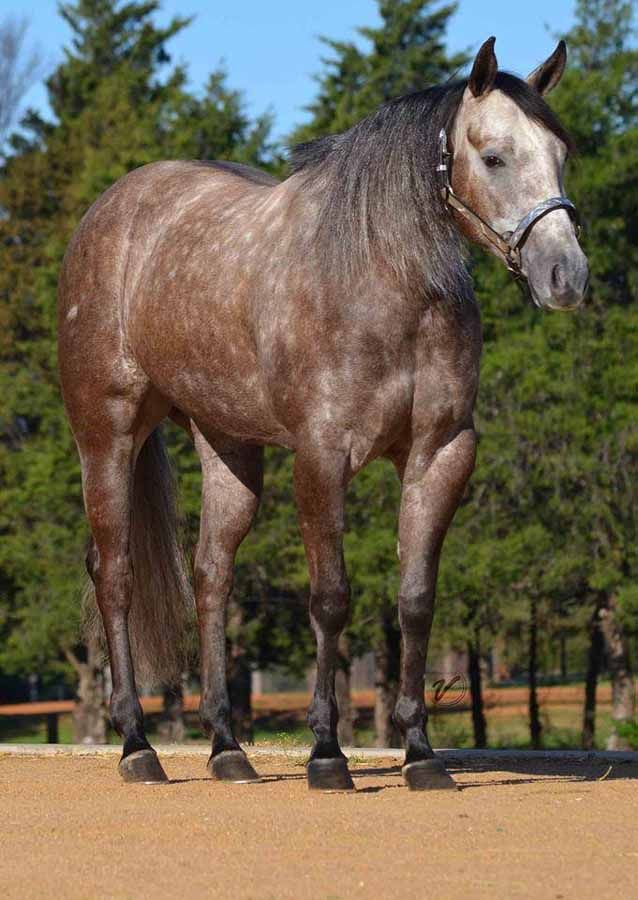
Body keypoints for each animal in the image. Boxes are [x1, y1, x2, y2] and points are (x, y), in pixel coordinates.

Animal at [58, 37, 588, 791]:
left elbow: (415, 599)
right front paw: (326, 753)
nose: (566, 277)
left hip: (229, 448)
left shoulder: (441, 454)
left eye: (561, 151)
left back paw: (228, 748)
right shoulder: (321, 455)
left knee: (211, 577)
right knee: (117, 575)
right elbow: (331, 597)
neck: (386, 284)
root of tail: (110, 212)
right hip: (107, 434)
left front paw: (420, 754)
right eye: (493, 156)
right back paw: (137, 745)